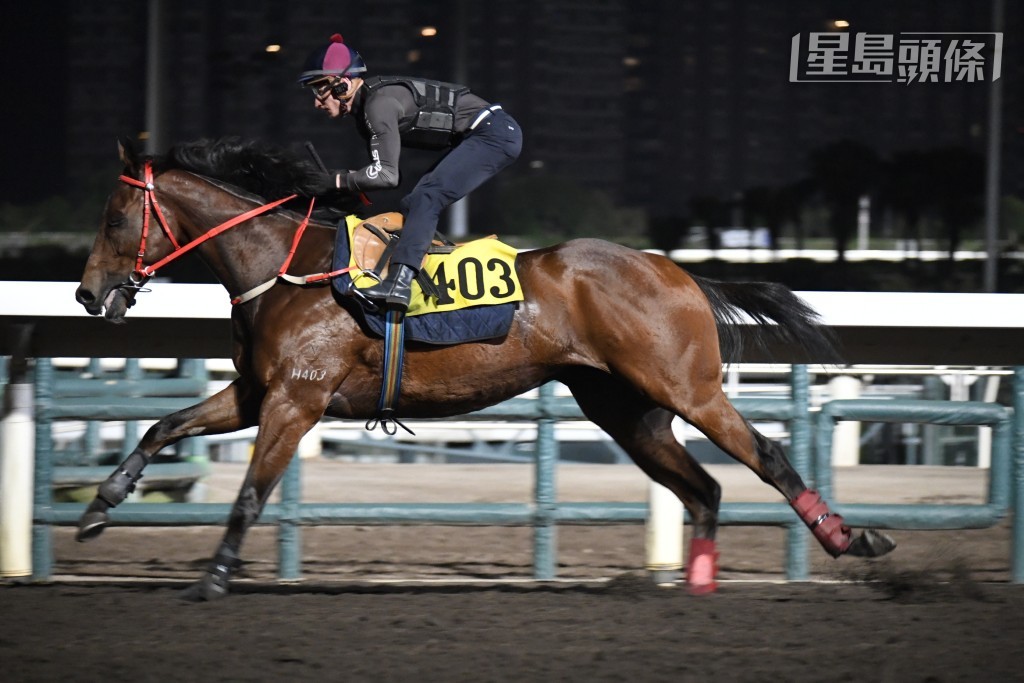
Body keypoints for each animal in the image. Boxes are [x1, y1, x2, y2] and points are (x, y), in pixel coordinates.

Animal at [72, 139, 892, 598]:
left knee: (768, 457)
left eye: (113, 219)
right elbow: (162, 425)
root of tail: (682, 272)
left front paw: (212, 576)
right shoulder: (257, 391)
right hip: (626, 410)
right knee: (704, 487)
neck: (287, 266)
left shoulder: (295, 402)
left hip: (685, 387)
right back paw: (695, 583)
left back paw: (853, 540)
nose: (88, 294)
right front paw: (98, 506)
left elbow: (249, 493)